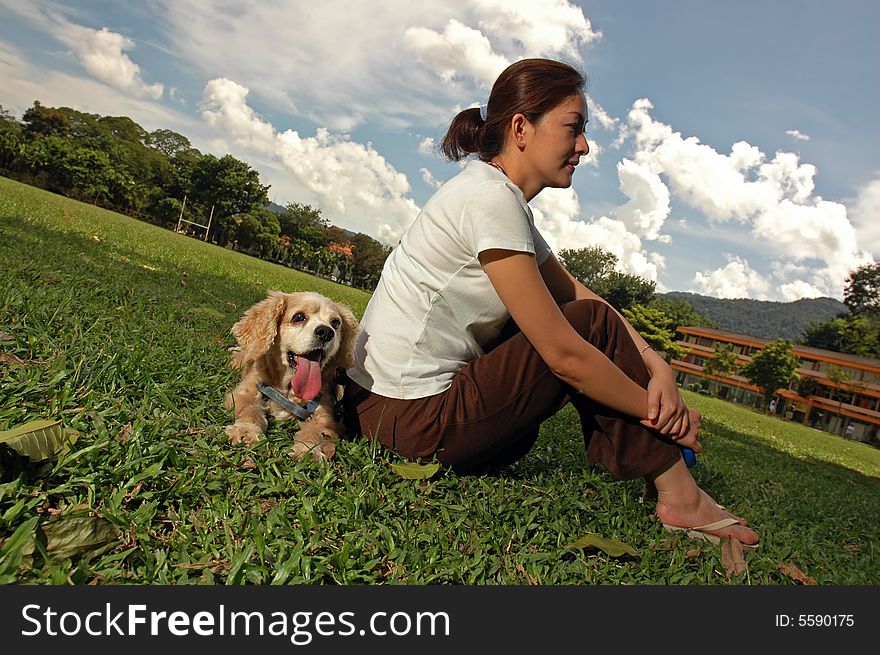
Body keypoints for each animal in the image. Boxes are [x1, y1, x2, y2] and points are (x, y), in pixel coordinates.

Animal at [225, 290, 360, 464]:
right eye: (299, 317)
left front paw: (309, 451)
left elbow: (315, 432)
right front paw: (245, 430)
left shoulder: (324, 415)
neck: (289, 388)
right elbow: (250, 410)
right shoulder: (244, 393)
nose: (326, 332)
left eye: (335, 323)